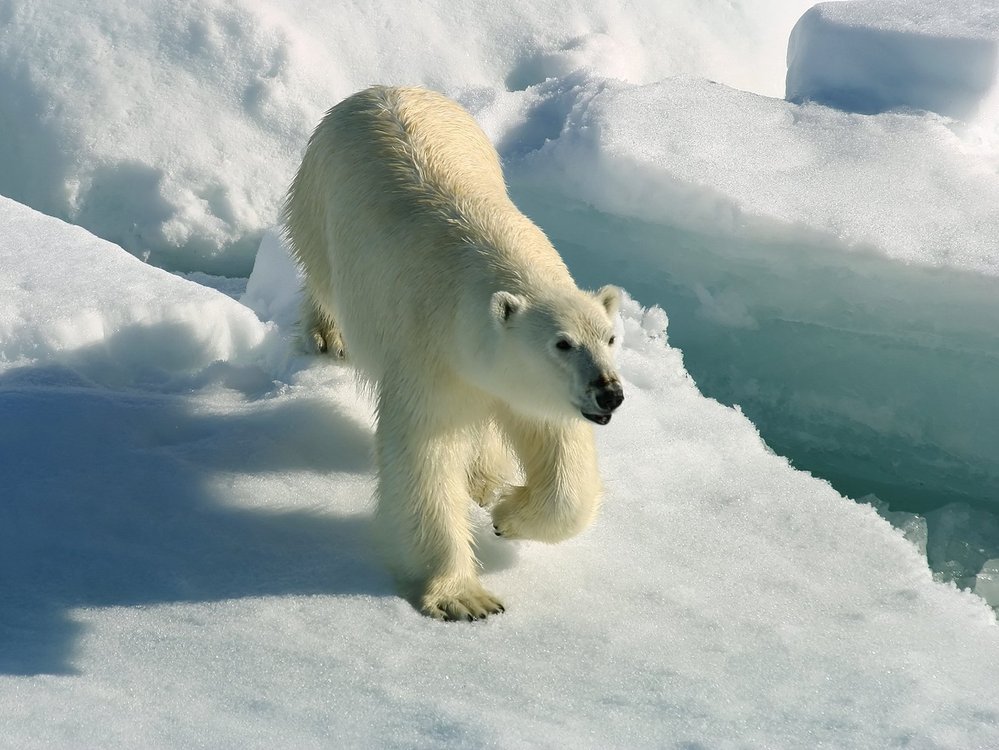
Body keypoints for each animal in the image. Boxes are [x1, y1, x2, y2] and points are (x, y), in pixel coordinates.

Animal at [284, 85, 624, 624]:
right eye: (562, 343)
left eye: (609, 338)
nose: (608, 393)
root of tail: (381, 88)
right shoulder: (429, 351)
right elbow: (423, 453)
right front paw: (465, 598)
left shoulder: (528, 384)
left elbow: (559, 453)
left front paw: (507, 513)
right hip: (318, 202)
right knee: (322, 276)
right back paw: (327, 334)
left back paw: (486, 480)